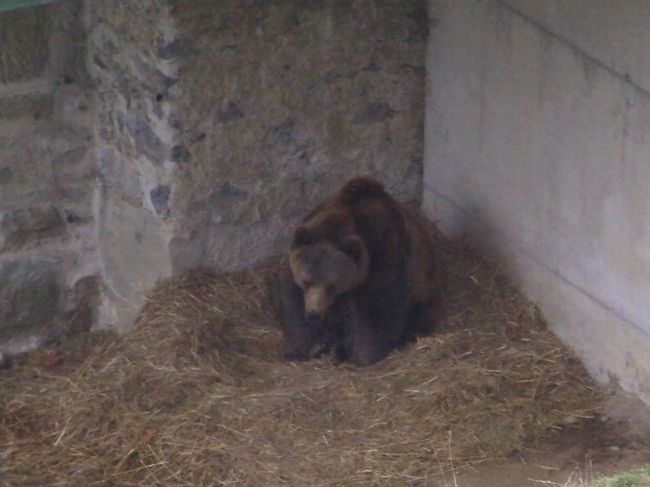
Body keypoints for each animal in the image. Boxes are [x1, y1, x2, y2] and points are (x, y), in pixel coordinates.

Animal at [279, 176, 439, 366]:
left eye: (332, 285)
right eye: (306, 280)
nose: (314, 313)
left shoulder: (385, 256)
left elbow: (378, 309)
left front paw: (361, 354)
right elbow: (292, 299)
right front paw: (303, 346)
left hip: (423, 289)